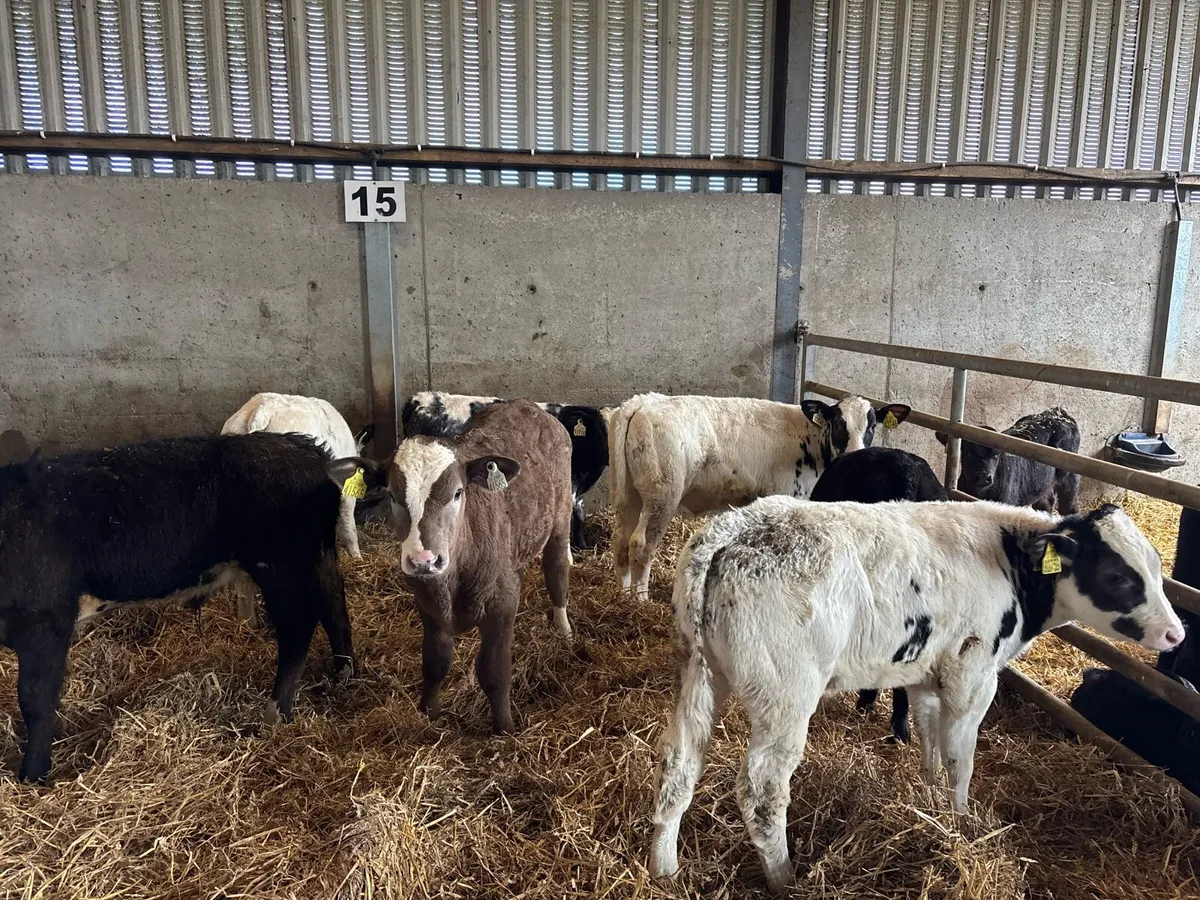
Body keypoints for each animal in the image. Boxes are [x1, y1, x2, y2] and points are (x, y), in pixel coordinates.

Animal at [0, 433, 356, 783]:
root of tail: (307, 452)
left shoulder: (44, 617)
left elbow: (35, 697)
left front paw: (33, 774)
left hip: (280, 566)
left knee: (299, 628)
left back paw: (276, 713)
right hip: (317, 555)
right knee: (335, 607)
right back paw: (345, 675)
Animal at [328, 400, 573, 735]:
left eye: (458, 492)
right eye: (392, 495)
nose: (424, 559)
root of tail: (527, 406)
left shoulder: (501, 604)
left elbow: (494, 670)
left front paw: (505, 728)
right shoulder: (428, 603)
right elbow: (435, 662)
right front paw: (428, 713)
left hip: (560, 517)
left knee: (556, 569)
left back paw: (564, 629)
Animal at [608, 393, 912, 598]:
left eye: (872, 426)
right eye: (838, 423)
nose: (855, 455)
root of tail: (643, 402)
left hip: (629, 494)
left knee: (621, 539)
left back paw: (623, 595)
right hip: (662, 495)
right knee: (641, 545)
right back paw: (641, 599)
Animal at [649, 497, 1183, 894]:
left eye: (1158, 568)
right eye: (1117, 576)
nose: (1176, 633)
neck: (1008, 558)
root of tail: (733, 528)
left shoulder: (927, 676)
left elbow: (930, 743)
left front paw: (930, 805)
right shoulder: (973, 675)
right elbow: (961, 756)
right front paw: (962, 822)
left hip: (699, 673)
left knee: (678, 764)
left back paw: (664, 869)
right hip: (785, 695)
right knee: (762, 790)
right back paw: (785, 879)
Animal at [936, 407, 1080, 513]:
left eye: (997, 453)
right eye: (967, 451)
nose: (983, 476)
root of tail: (1058, 412)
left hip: (1070, 480)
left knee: (1070, 507)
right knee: (1046, 503)